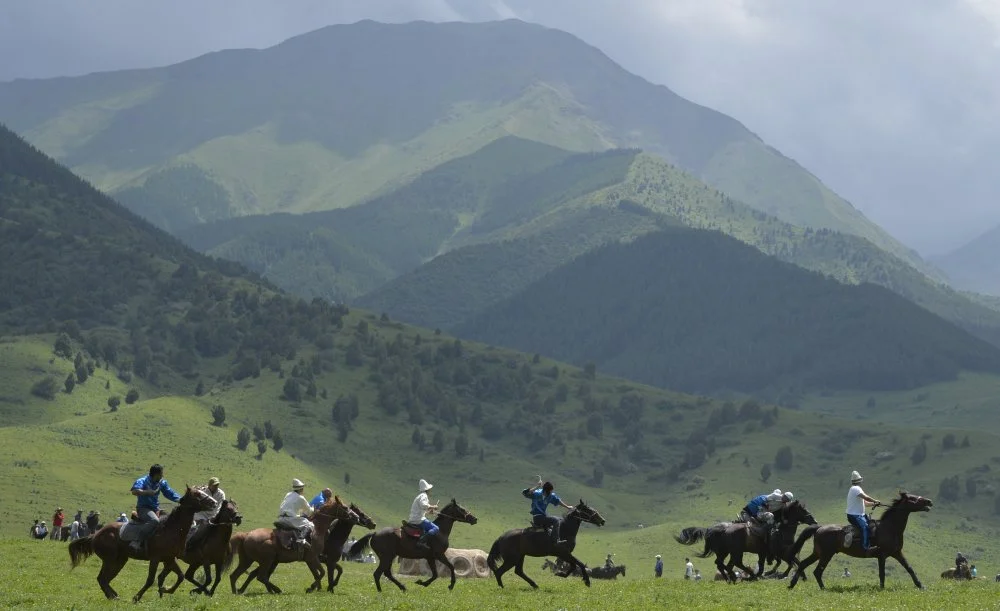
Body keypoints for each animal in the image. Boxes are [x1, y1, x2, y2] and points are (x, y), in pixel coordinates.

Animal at [69, 488, 220, 604]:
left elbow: (181, 576)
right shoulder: (155, 559)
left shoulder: (170, 559)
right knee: (102, 579)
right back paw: (113, 597)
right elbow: (150, 580)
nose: (214, 502)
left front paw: (165, 590)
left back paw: (114, 596)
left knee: (105, 579)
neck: (171, 529)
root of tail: (96, 534)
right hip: (110, 560)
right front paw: (137, 597)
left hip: (120, 561)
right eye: (197, 494)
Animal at [348, 498, 480, 592]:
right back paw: (382, 591)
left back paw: (402, 587)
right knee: (378, 573)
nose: (475, 519)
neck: (440, 531)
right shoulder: (439, 555)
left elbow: (435, 574)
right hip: (387, 557)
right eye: (462, 509)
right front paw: (450, 585)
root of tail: (375, 534)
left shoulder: (430, 557)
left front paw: (422, 583)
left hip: (389, 557)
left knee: (386, 573)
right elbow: (451, 567)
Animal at [788, 490, 936, 592]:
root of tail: (819, 528)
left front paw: (920, 585)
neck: (890, 527)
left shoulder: (897, 553)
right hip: (826, 554)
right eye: (912, 498)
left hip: (818, 553)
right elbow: (882, 573)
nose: (929, 501)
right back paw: (823, 589)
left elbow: (909, 568)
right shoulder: (882, 555)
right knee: (817, 571)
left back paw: (792, 585)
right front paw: (882, 588)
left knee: (803, 564)